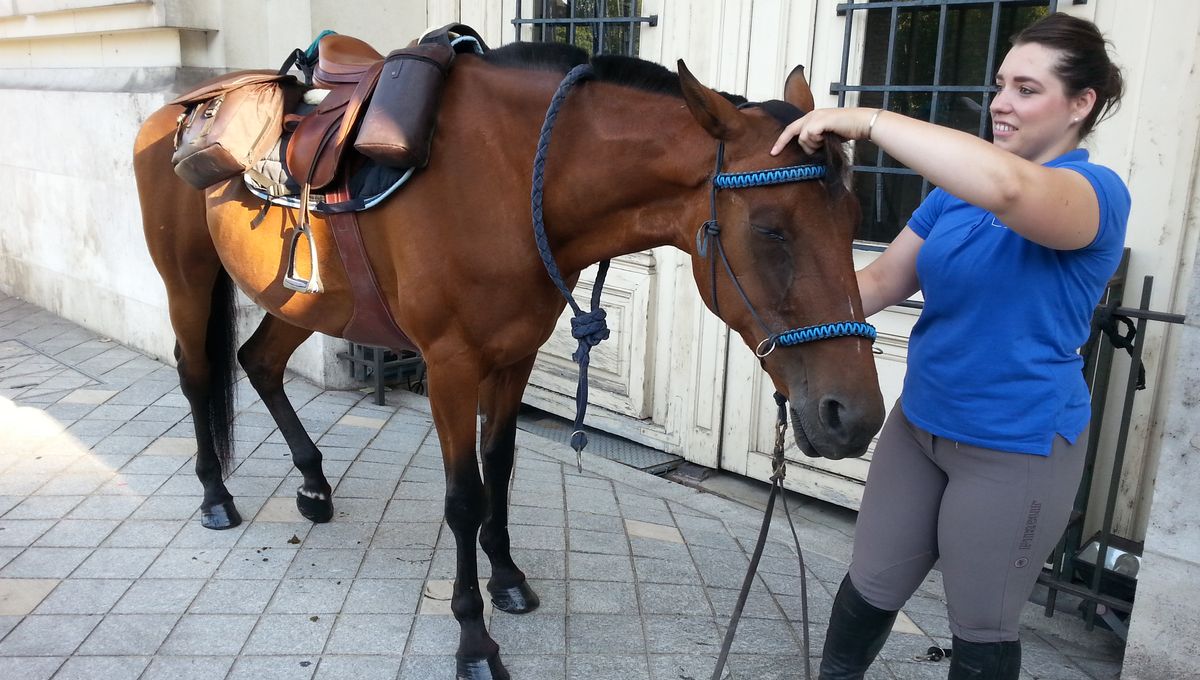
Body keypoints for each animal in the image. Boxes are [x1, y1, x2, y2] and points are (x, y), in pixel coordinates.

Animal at [133, 41, 885, 680]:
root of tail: (178, 108)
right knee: (197, 374)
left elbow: (499, 468)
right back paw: (215, 496)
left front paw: (509, 579)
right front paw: (474, 638)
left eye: (855, 223)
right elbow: (464, 497)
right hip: (186, 279)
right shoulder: (450, 366)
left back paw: (315, 484)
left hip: (307, 302)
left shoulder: (513, 357)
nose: (853, 416)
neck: (517, 181)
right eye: (770, 229)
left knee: (259, 362)